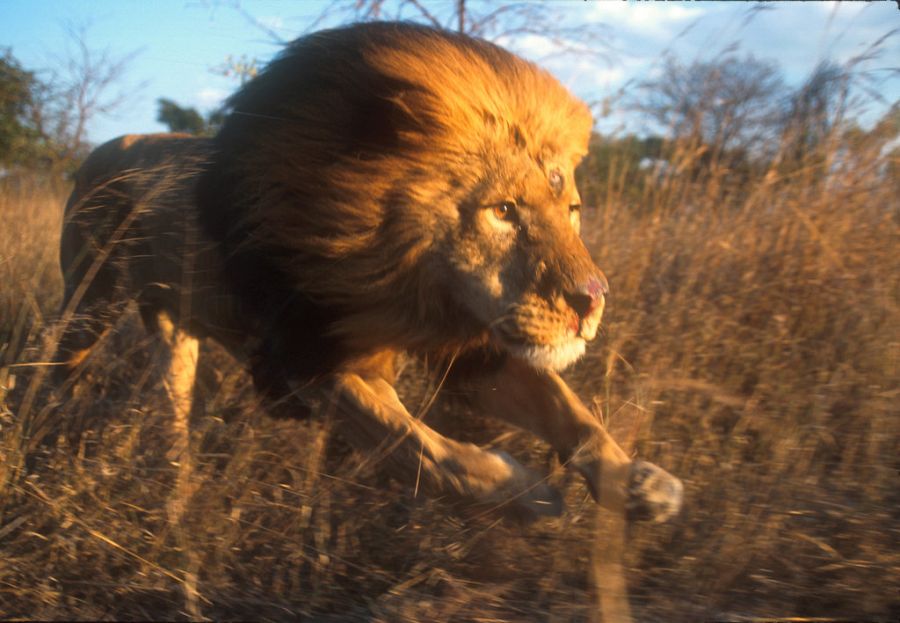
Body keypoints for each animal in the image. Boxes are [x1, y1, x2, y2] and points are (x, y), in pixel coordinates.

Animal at [54, 22, 684, 520]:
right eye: (504, 211)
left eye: (573, 210)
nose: (593, 300)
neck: (407, 279)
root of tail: (100, 149)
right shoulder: (307, 360)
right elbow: (421, 450)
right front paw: (523, 493)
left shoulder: (469, 346)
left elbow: (569, 409)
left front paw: (639, 484)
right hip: (87, 305)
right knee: (58, 368)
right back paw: (52, 437)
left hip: (174, 332)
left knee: (172, 405)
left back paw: (175, 484)